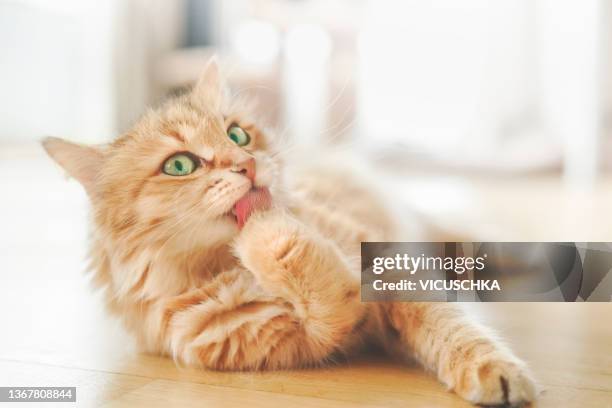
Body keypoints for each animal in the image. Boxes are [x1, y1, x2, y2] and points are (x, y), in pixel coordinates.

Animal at [44, 59, 536, 406]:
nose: (247, 165)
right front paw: (264, 234)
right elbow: (322, 292)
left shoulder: (388, 268)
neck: (232, 269)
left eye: (237, 135)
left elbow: (453, 330)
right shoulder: (304, 337)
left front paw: (497, 373)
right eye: (180, 165)